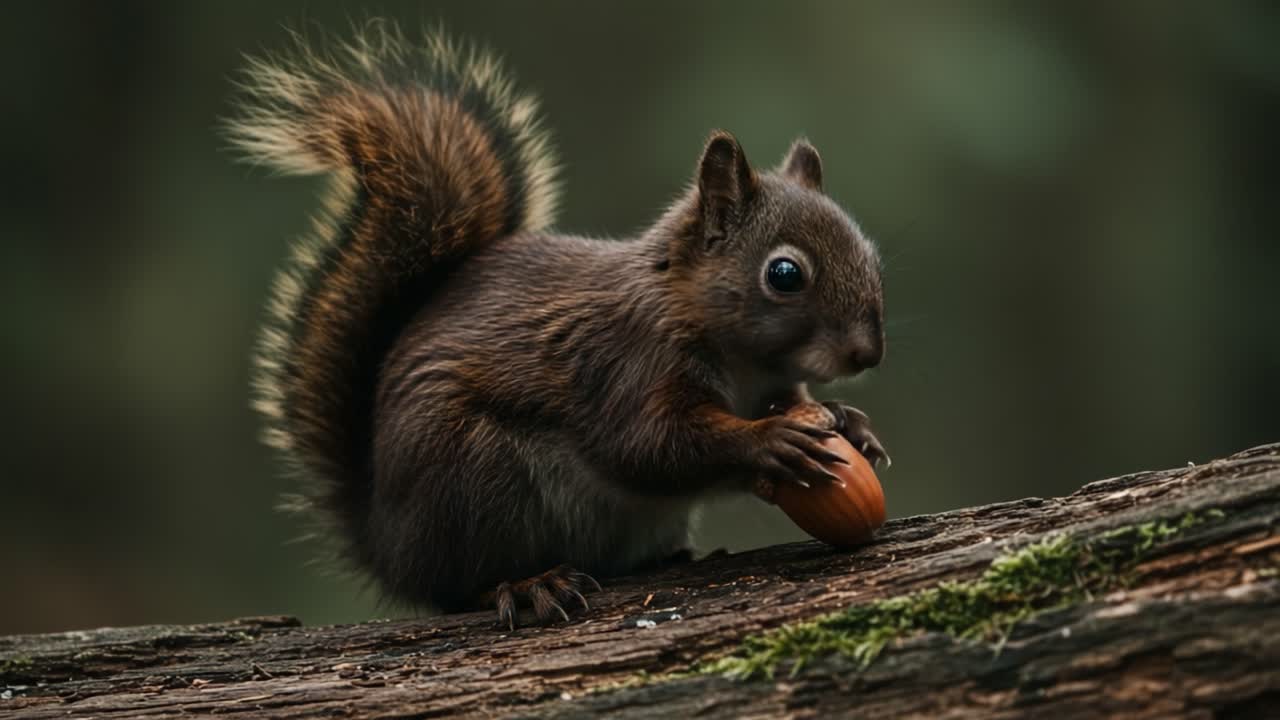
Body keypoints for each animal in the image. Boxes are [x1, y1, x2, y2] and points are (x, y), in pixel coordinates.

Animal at [228, 21, 888, 628]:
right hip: (472, 474)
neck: (743, 360)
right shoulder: (627, 364)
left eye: (872, 254)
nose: (868, 354)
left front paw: (848, 423)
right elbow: (651, 446)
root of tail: (383, 540)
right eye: (784, 274)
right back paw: (525, 585)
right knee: (456, 585)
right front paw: (770, 440)